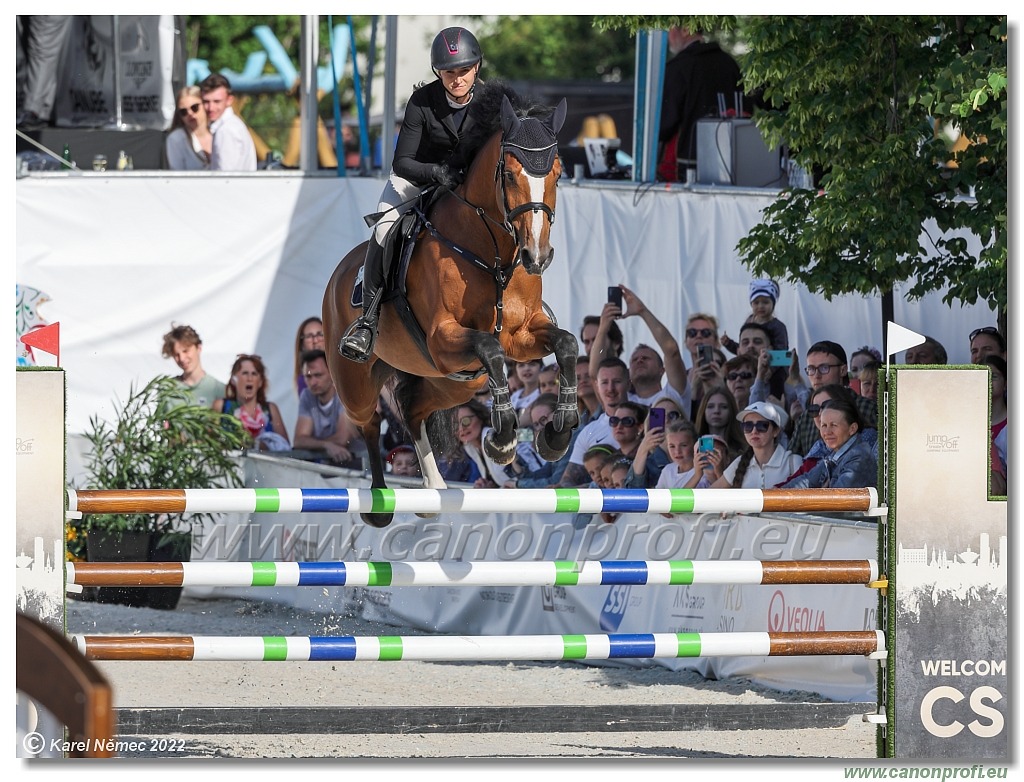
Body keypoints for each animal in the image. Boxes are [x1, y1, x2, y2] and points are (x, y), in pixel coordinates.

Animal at [323, 83, 581, 524]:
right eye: (508, 174)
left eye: (558, 173)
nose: (537, 256)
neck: (492, 253)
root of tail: (338, 273)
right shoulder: (444, 338)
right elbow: (490, 348)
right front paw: (503, 442)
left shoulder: (522, 335)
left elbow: (565, 344)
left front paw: (555, 435)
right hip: (357, 380)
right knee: (369, 421)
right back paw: (379, 503)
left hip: (455, 382)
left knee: (411, 409)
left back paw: (433, 490)